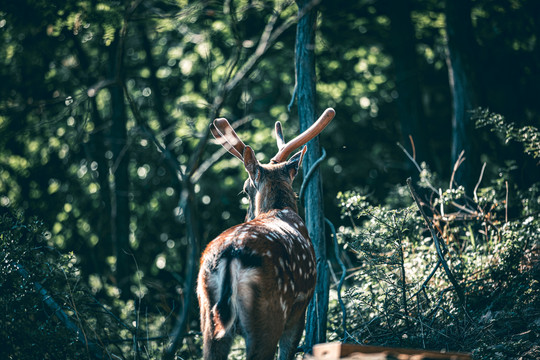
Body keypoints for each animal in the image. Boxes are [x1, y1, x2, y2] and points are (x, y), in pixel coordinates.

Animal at [196, 108, 336, 360]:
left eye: (245, 190)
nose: (246, 216)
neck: (280, 208)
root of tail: (230, 256)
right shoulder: (299, 310)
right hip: (270, 312)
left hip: (208, 315)